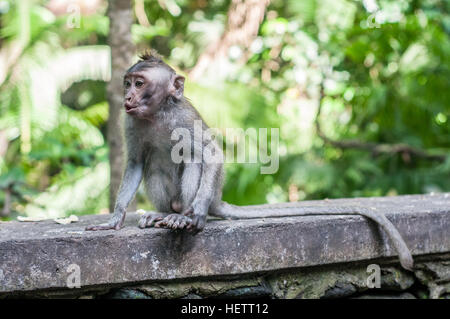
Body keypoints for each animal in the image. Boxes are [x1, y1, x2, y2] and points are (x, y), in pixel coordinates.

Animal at [85, 51, 414, 272]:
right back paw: (165, 214)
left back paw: (185, 216)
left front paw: (197, 213)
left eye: (139, 84)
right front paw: (115, 218)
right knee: (155, 166)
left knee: (193, 159)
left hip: (209, 191)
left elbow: (210, 153)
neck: (157, 114)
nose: (127, 97)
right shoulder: (132, 123)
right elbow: (136, 163)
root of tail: (218, 200)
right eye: (127, 83)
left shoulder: (184, 119)